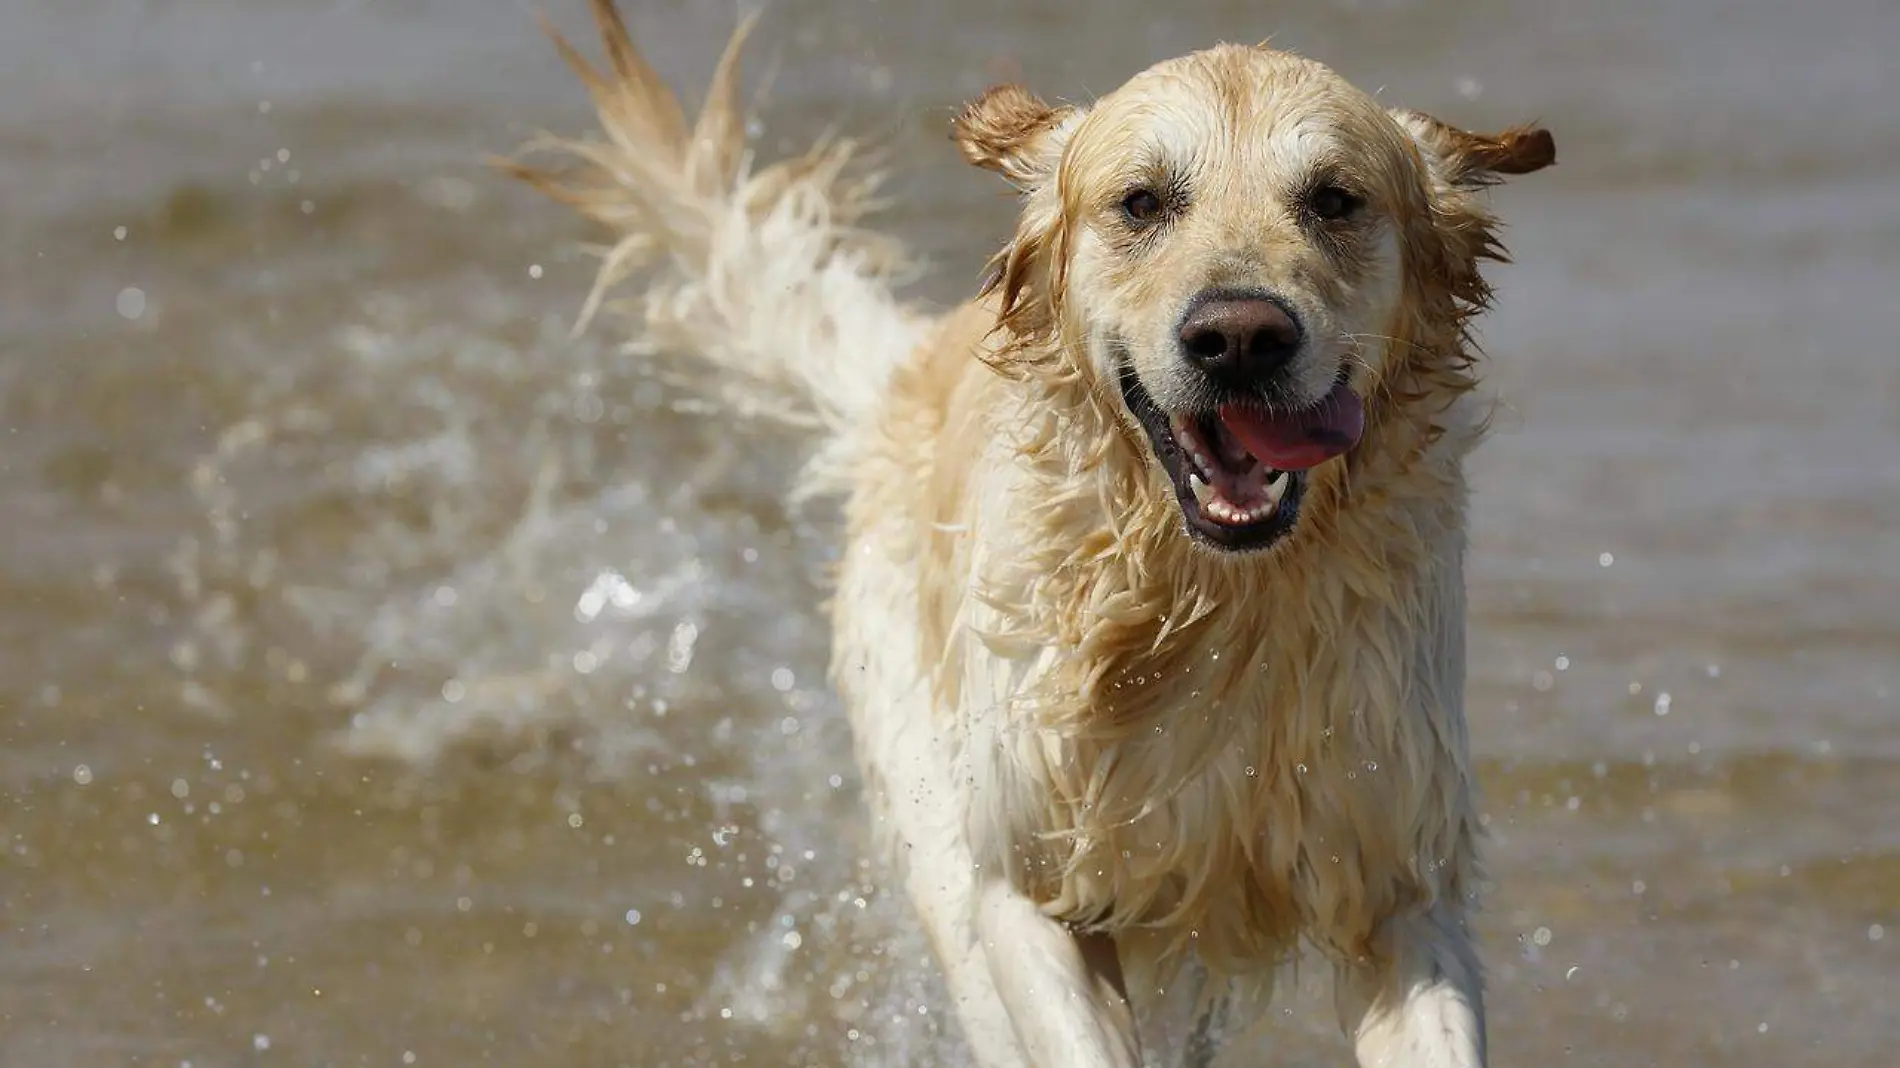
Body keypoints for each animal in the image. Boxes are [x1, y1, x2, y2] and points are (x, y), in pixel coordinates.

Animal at [509, 4, 1558, 1056]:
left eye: (1334, 199)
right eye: (1142, 202)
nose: (1240, 338)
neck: (1211, 599)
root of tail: (908, 368)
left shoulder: (1401, 882)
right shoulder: (1024, 884)